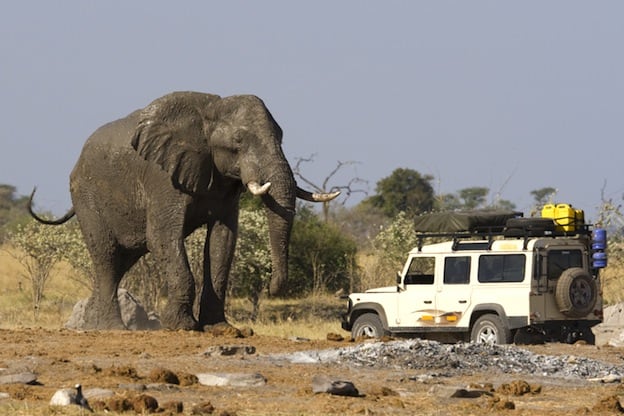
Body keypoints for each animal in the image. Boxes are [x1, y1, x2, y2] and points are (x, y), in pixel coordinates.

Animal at [29, 92, 338, 332]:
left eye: (282, 137)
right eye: (238, 140)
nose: (274, 288)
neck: (209, 112)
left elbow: (223, 241)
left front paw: (220, 328)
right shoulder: (161, 176)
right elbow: (163, 236)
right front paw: (182, 326)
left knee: (120, 261)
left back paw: (91, 324)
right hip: (87, 196)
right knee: (107, 256)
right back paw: (111, 328)